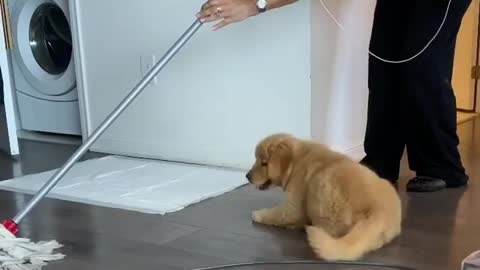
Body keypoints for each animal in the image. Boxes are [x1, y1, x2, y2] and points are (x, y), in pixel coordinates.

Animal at [248, 134, 402, 260]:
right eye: (256, 160)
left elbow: (276, 214)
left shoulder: (293, 208)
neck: (296, 161)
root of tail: (378, 210)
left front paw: (257, 214)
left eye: (264, 163)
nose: (247, 176)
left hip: (321, 181)